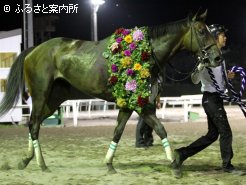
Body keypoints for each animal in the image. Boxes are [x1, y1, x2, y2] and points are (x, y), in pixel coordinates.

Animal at [0, 10, 221, 178]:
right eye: (201, 31)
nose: (217, 57)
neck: (145, 52)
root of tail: (33, 49)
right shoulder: (140, 105)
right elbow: (161, 129)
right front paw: (175, 164)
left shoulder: (129, 104)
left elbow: (118, 132)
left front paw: (109, 164)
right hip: (40, 95)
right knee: (34, 124)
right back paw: (41, 164)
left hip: (56, 97)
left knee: (34, 123)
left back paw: (26, 160)